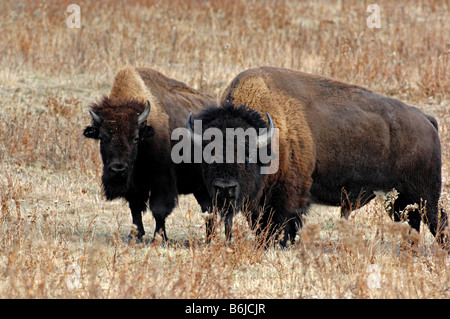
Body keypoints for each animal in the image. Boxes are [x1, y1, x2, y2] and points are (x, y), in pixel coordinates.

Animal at [85, 67, 219, 242]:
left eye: (135, 137)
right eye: (102, 137)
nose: (117, 169)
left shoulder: (161, 181)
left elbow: (159, 210)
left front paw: (159, 239)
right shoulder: (134, 185)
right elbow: (135, 208)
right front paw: (134, 236)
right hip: (200, 187)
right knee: (208, 209)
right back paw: (209, 239)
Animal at [185, 66, 446, 249]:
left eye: (247, 153)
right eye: (206, 155)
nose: (224, 187)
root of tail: (425, 119)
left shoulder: (288, 197)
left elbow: (283, 226)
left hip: (424, 194)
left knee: (437, 220)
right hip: (398, 199)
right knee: (412, 222)